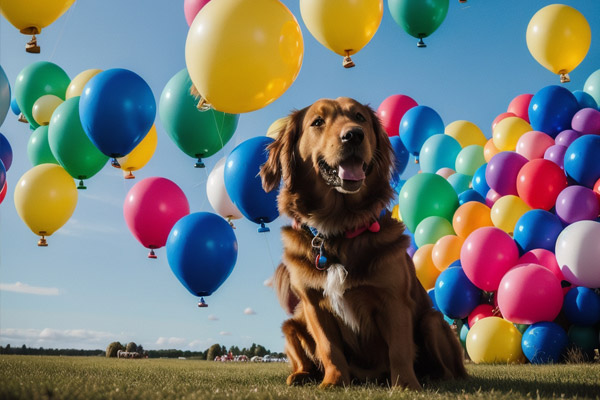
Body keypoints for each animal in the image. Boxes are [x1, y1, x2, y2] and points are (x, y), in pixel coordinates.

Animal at [260, 97, 466, 390]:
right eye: (318, 121)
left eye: (360, 117)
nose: (354, 135)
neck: (338, 227)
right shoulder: (313, 304)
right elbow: (329, 348)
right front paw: (334, 382)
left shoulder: (393, 299)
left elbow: (399, 349)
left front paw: (405, 384)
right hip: (291, 326)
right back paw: (302, 375)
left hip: (432, 320)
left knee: (448, 369)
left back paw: (432, 378)